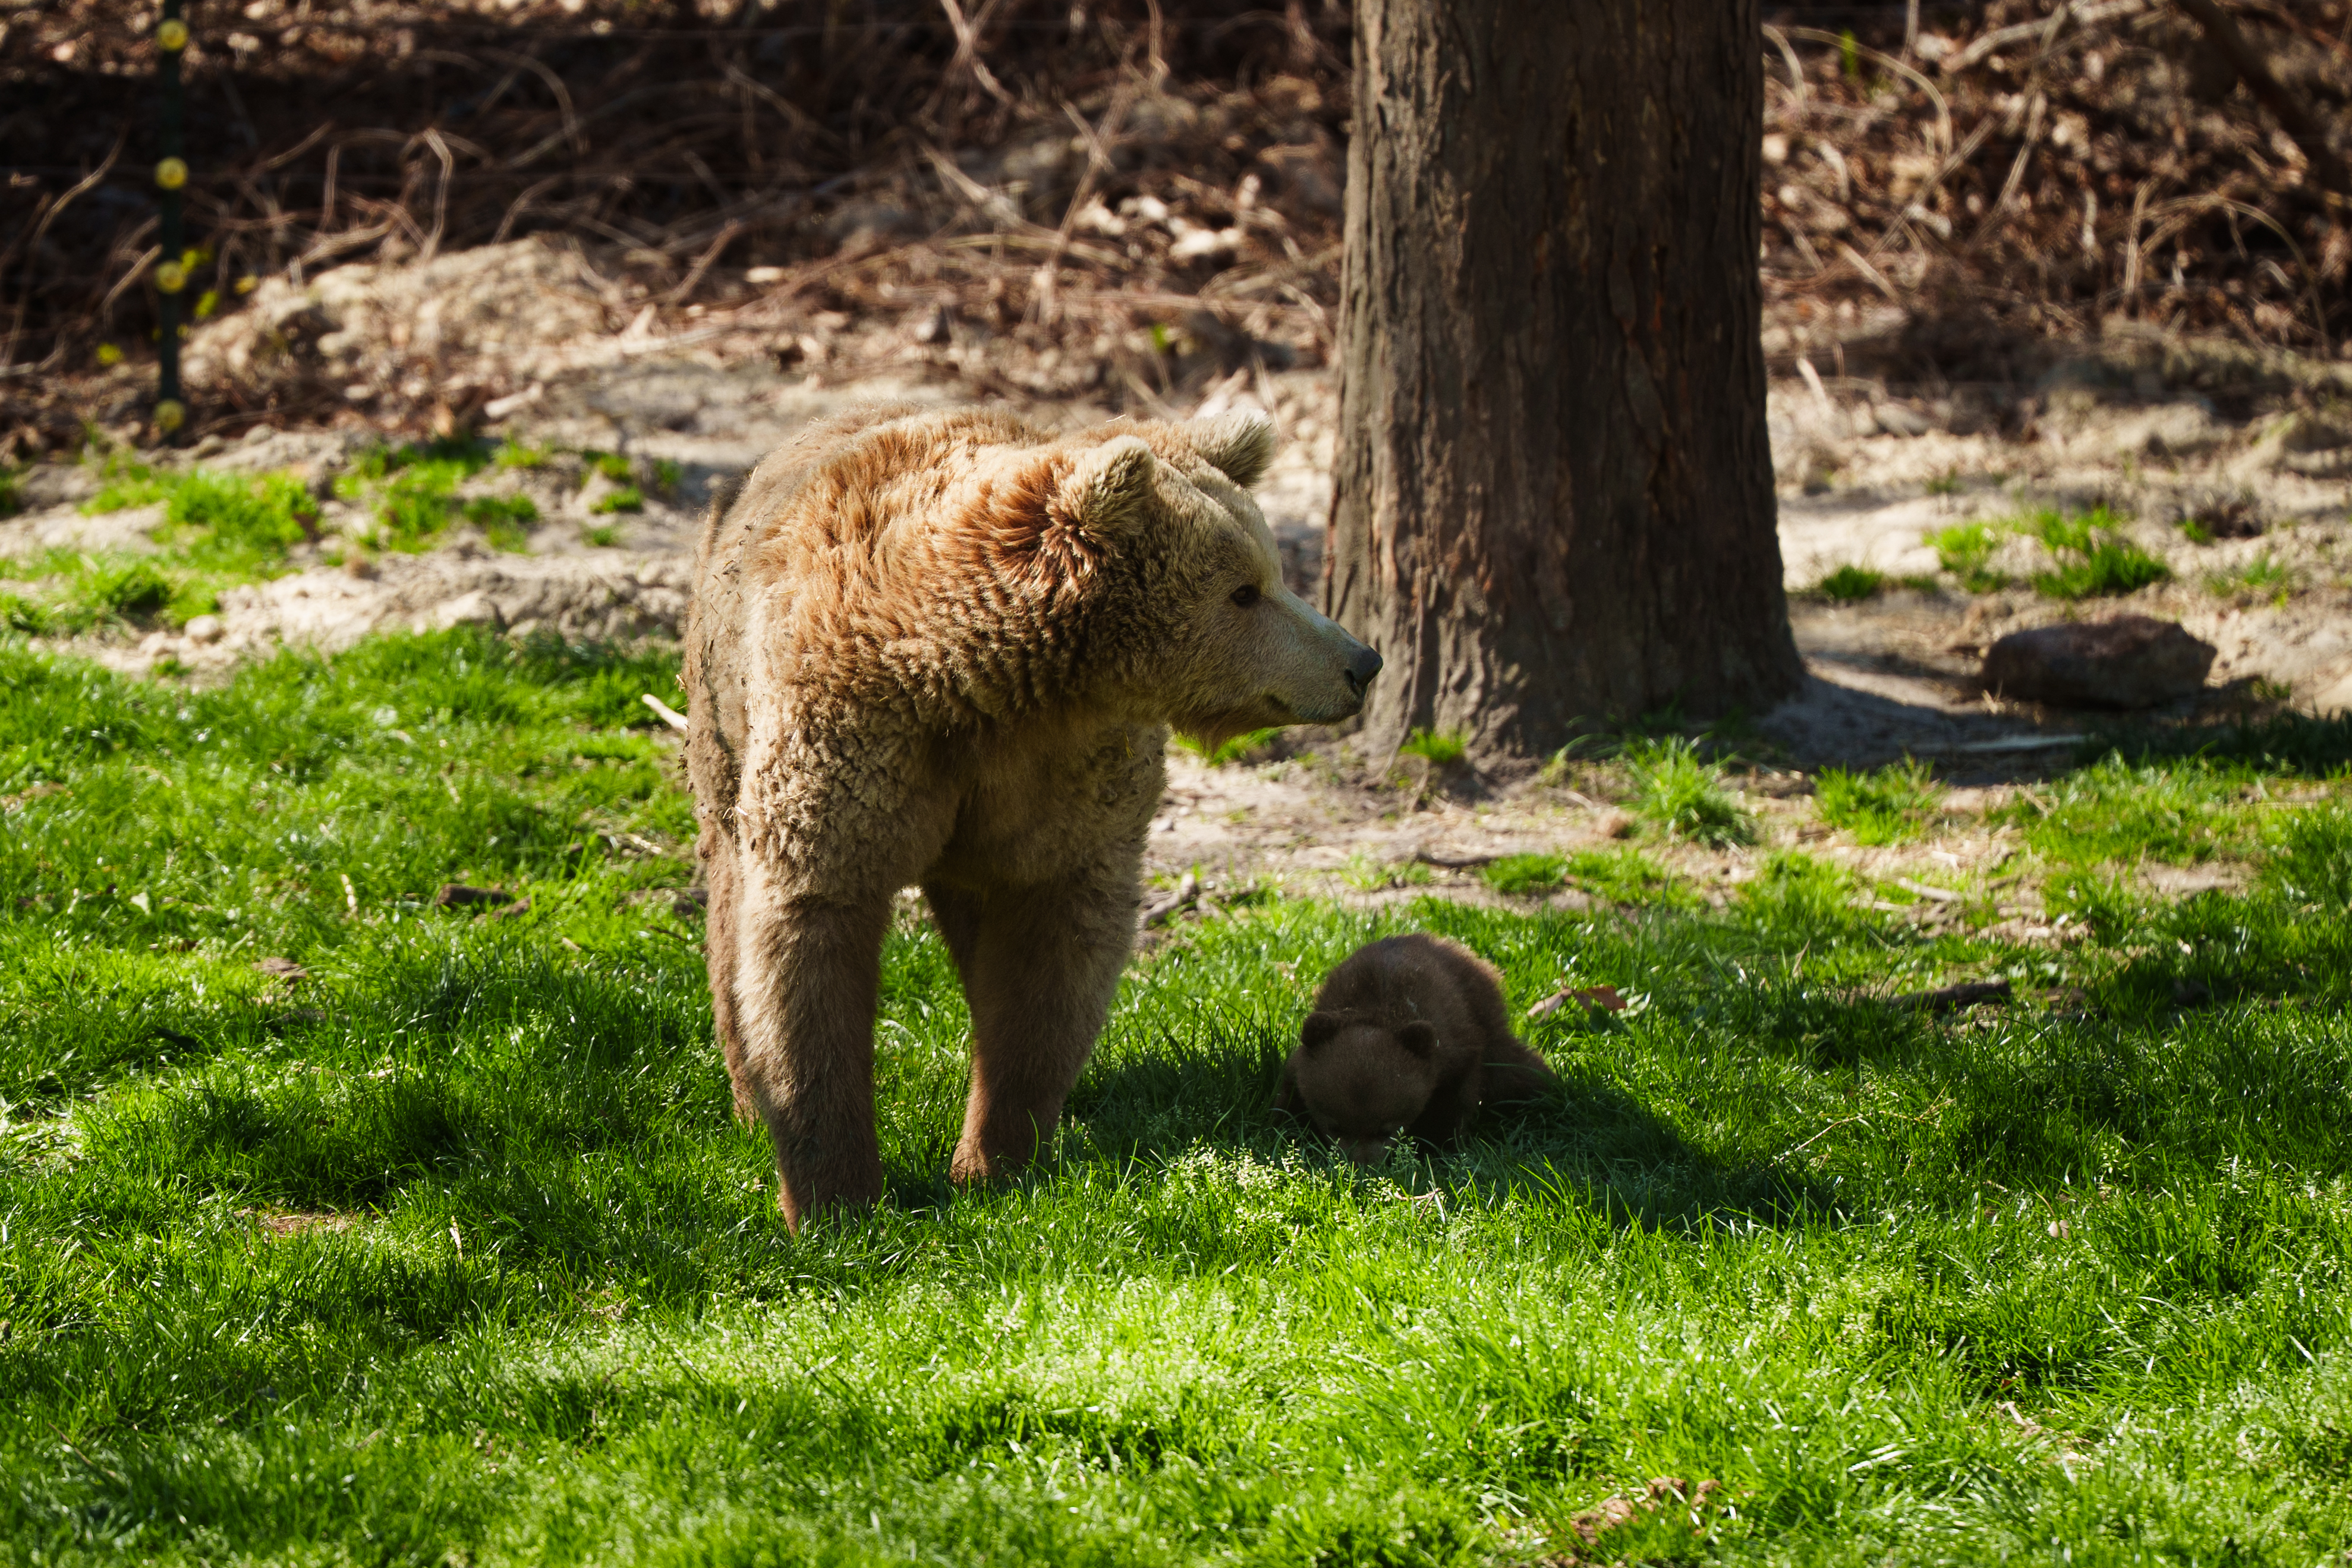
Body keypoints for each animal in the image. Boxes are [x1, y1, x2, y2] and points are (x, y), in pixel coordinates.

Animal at [685, 404, 1383, 1229]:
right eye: (1244, 591)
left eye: (1272, 570)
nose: (1361, 662)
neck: (974, 685)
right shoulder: (853, 745)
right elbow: (809, 945)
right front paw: (837, 1198)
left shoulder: (1062, 778)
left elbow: (1050, 956)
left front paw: (996, 1159)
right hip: (721, 723)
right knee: (730, 909)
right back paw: (747, 1101)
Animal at [1278, 933, 1556, 1164]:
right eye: (1335, 1126)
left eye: (1387, 1129)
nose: (1362, 1166)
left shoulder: (1454, 1051)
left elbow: (1454, 1103)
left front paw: (1441, 1147)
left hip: (1491, 1031)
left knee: (1521, 1073)